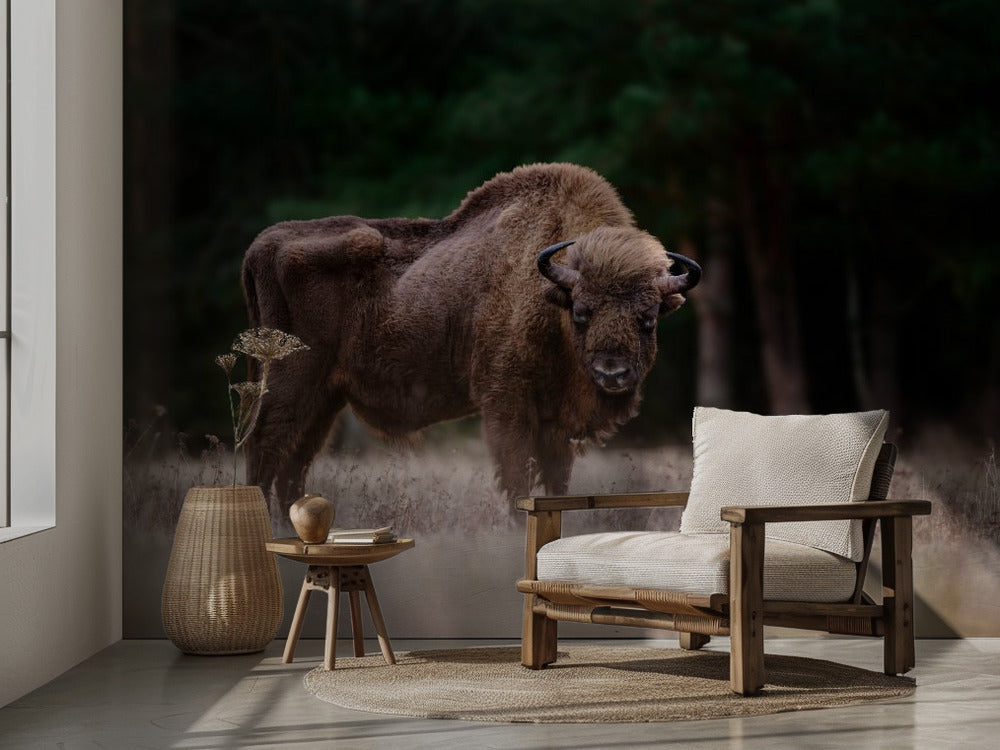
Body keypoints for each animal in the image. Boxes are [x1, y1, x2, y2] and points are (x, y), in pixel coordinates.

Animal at [242, 163, 700, 511]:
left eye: (648, 318)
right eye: (582, 312)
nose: (612, 373)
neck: (549, 298)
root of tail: (263, 244)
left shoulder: (555, 424)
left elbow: (555, 483)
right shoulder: (506, 405)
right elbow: (517, 480)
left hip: (325, 398)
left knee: (294, 462)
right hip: (290, 380)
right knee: (263, 446)